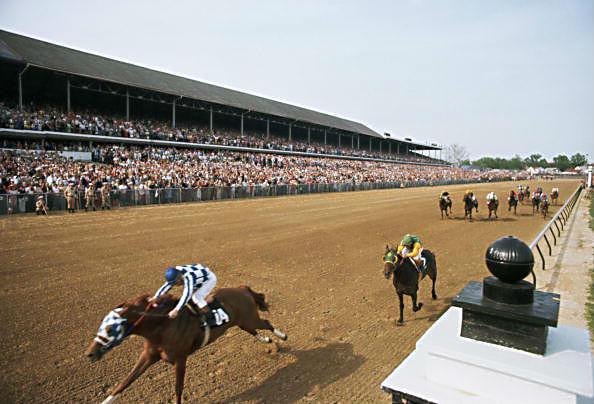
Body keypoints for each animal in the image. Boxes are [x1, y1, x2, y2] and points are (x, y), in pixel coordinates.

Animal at [84, 286, 286, 402]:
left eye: (110, 329)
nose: (89, 354)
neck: (162, 326)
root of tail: (242, 289)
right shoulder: (148, 356)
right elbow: (124, 383)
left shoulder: (180, 359)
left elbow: (178, 389)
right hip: (242, 322)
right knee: (253, 331)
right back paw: (268, 340)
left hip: (250, 318)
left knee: (266, 323)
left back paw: (282, 336)